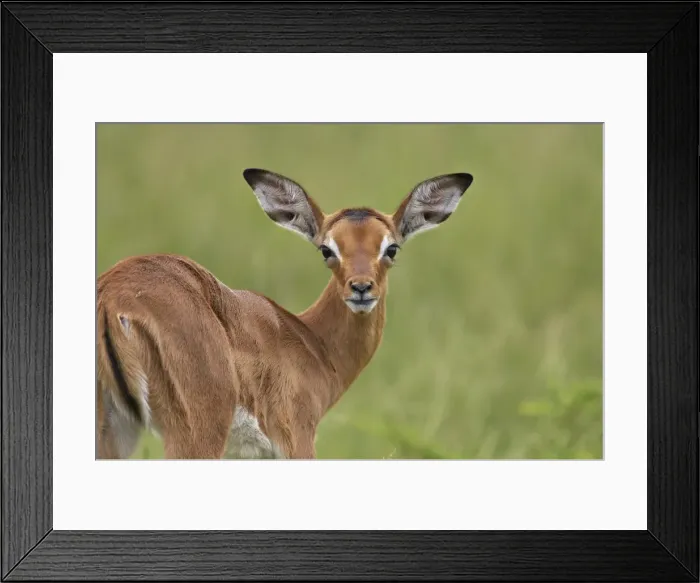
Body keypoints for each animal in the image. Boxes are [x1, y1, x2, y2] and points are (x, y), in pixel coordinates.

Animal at [96, 168, 474, 459]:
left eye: (390, 248)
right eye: (327, 249)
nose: (361, 288)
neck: (311, 341)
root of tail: (113, 295)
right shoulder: (297, 439)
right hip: (196, 432)